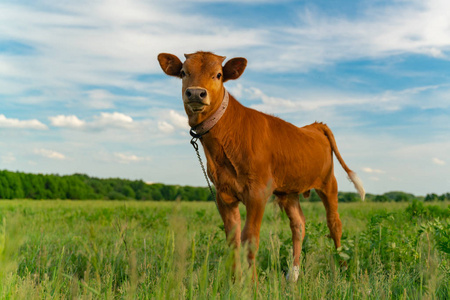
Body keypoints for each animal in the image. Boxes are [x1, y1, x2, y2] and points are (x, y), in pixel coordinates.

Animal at [156, 51, 364, 278]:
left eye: (218, 75)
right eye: (184, 72)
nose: (195, 93)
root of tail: (315, 125)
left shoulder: (257, 191)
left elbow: (250, 238)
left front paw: (251, 283)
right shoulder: (223, 193)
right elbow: (233, 239)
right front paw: (234, 280)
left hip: (328, 183)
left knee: (334, 223)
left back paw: (343, 267)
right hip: (289, 190)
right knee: (298, 225)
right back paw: (293, 274)